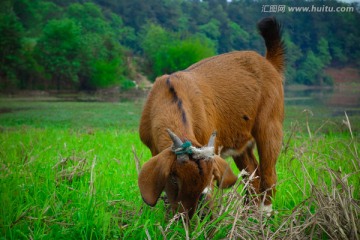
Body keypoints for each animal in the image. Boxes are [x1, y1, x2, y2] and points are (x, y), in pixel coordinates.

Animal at [137, 16, 284, 218]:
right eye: (175, 179)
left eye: (211, 177)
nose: (199, 207)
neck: (170, 96)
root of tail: (267, 62)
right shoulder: (154, 148)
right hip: (240, 141)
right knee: (252, 174)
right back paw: (247, 214)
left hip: (270, 123)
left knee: (269, 173)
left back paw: (264, 213)